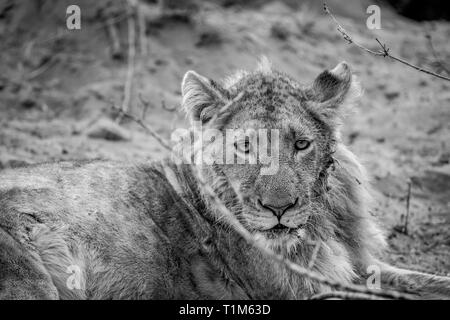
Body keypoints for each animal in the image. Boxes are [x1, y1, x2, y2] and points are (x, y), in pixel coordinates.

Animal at [0, 58, 450, 300]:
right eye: (245, 147)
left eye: (302, 144)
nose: (279, 209)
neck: (320, 226)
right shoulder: (297, 288)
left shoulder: (359, 267)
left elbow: (424, 281)